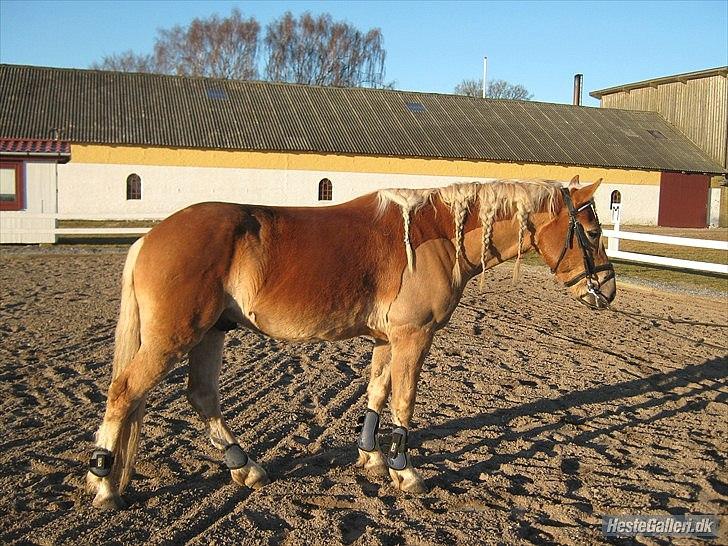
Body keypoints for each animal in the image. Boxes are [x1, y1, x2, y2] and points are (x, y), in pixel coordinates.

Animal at [88, 174, 616, 506]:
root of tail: (150, 238)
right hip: (173, 338)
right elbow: (404, 401)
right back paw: (105, 486)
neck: (433, 235)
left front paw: (372, 458)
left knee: (202, 397)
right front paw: (405, 471)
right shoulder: (413, 337)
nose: (607, 290)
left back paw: (245, 467)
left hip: (210, 334)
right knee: (124, 394)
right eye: (592, 232)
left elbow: (377, 394)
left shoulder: (387, 340)